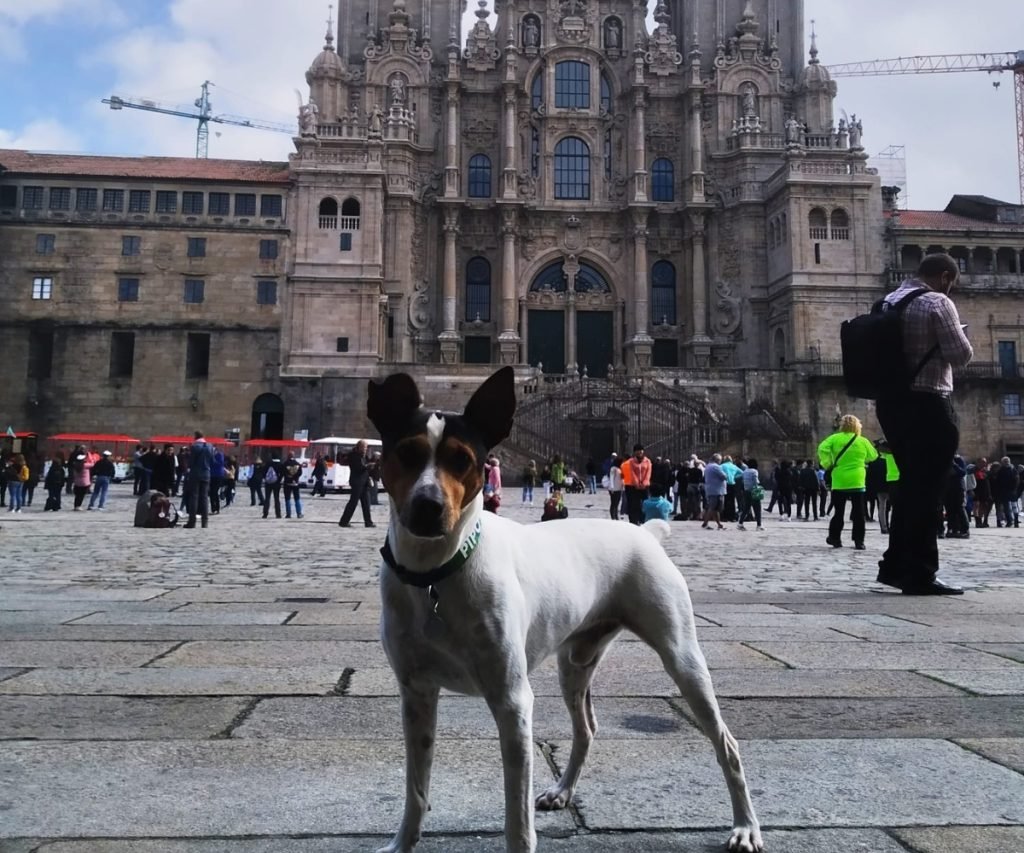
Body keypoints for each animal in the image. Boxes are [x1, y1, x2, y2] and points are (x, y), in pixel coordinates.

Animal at [369, 367, 763, 853]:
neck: (435, 576)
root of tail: (645, 531)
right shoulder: (416, 695)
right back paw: (562, 791)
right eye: (406, 453)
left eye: (462, 460)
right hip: (575, 662)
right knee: (586, 729)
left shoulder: (512, 701)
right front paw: (403, 843)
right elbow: (416, 787)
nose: (428, 507)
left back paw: (745, 827)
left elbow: (516, 819)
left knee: (727, 743)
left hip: (683, 658)